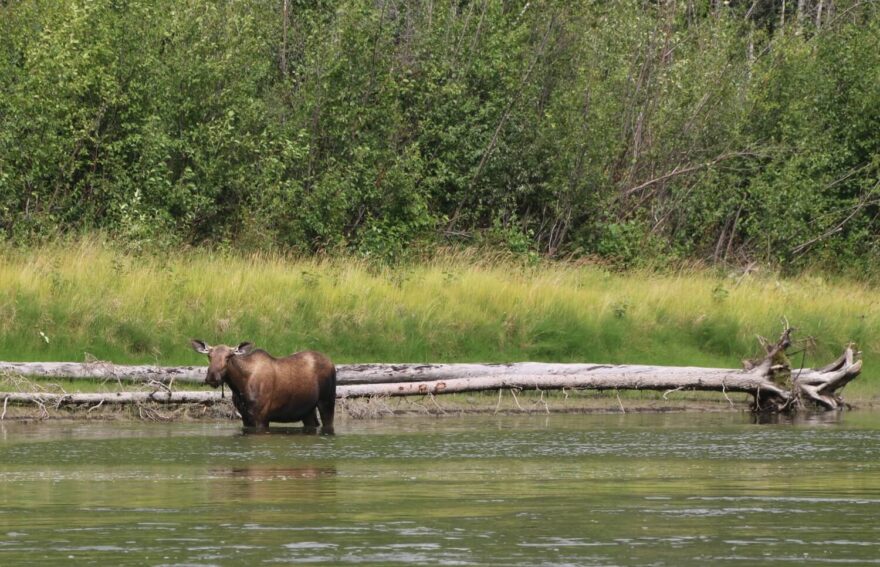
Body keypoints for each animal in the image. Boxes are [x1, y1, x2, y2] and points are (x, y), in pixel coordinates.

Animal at [189, 342, 336, 434]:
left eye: (229, 356)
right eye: (209, 356)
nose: (212, 376)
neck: (239, 386)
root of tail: (331, 363)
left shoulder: (261, 417)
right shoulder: (245, 417)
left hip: (327, 401)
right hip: (307, 410)